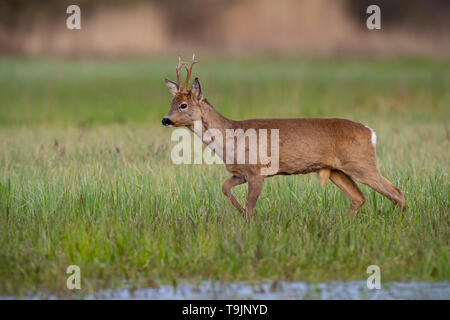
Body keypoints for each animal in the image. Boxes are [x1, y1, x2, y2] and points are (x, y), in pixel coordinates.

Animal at [162, 56, 404, 219]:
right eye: (171, 103)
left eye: (184, 105)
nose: (165, 119)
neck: (230, 138)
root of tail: (370, 132)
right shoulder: (240, 172)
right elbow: (225, 188)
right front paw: (241, 214)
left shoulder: (257, 171)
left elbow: (251, 207)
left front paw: (249, 225)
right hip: (337, 170)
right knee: (359, 197)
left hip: (361, 163)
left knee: (396, 192)